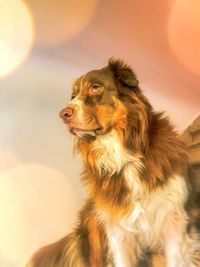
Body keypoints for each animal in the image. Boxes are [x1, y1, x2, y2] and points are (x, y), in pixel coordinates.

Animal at [27, 59, 200, 266]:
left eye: (95, 87)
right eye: (73, 95)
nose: (63, 114)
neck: (122, 156)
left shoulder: (173, 219)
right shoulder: (117, 229)